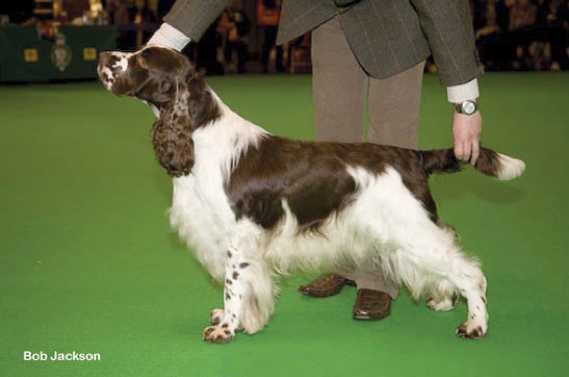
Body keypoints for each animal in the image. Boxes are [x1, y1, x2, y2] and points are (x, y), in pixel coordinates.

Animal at [96, 46, 524, 340]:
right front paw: (241, 320)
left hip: (410, 229)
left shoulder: (237, 237)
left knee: (469, 271)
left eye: (141, 60)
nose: (103, 55)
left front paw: (227, 328)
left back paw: (475, 323)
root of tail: (412, 156)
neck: (198, 135)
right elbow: (247, 288)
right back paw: (444, 300)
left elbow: (233, 287)